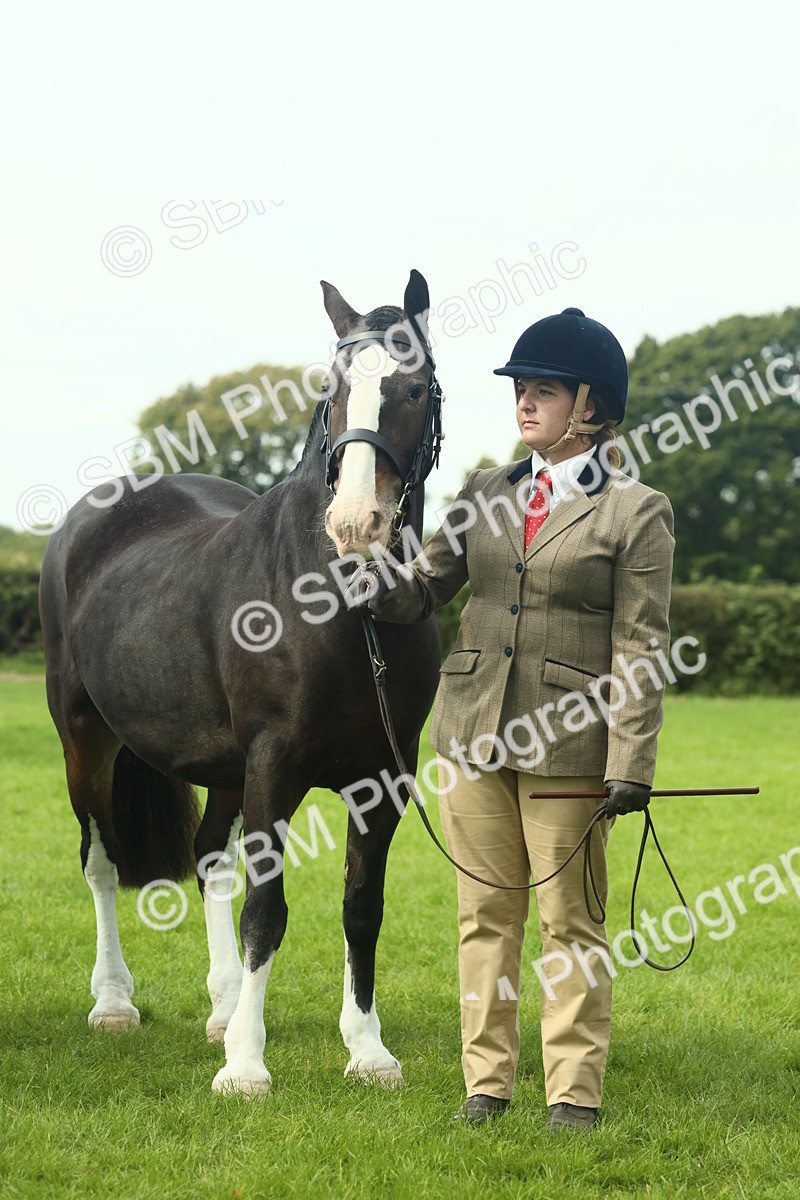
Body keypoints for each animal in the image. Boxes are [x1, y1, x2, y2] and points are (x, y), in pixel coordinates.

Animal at [39, 270, 443, 1096]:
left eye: (414, 387)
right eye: (332, 388)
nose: (355, 524)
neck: (344, 605)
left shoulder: (383, 778)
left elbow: (362, 908)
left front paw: (367, 1049)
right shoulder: (274, 765)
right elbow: (268, 908)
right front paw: (247, 1067)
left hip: (223, 768)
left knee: (206, 858)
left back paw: (224, 1008)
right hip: (86, 741)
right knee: (101, 861)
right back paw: (115, 1003)